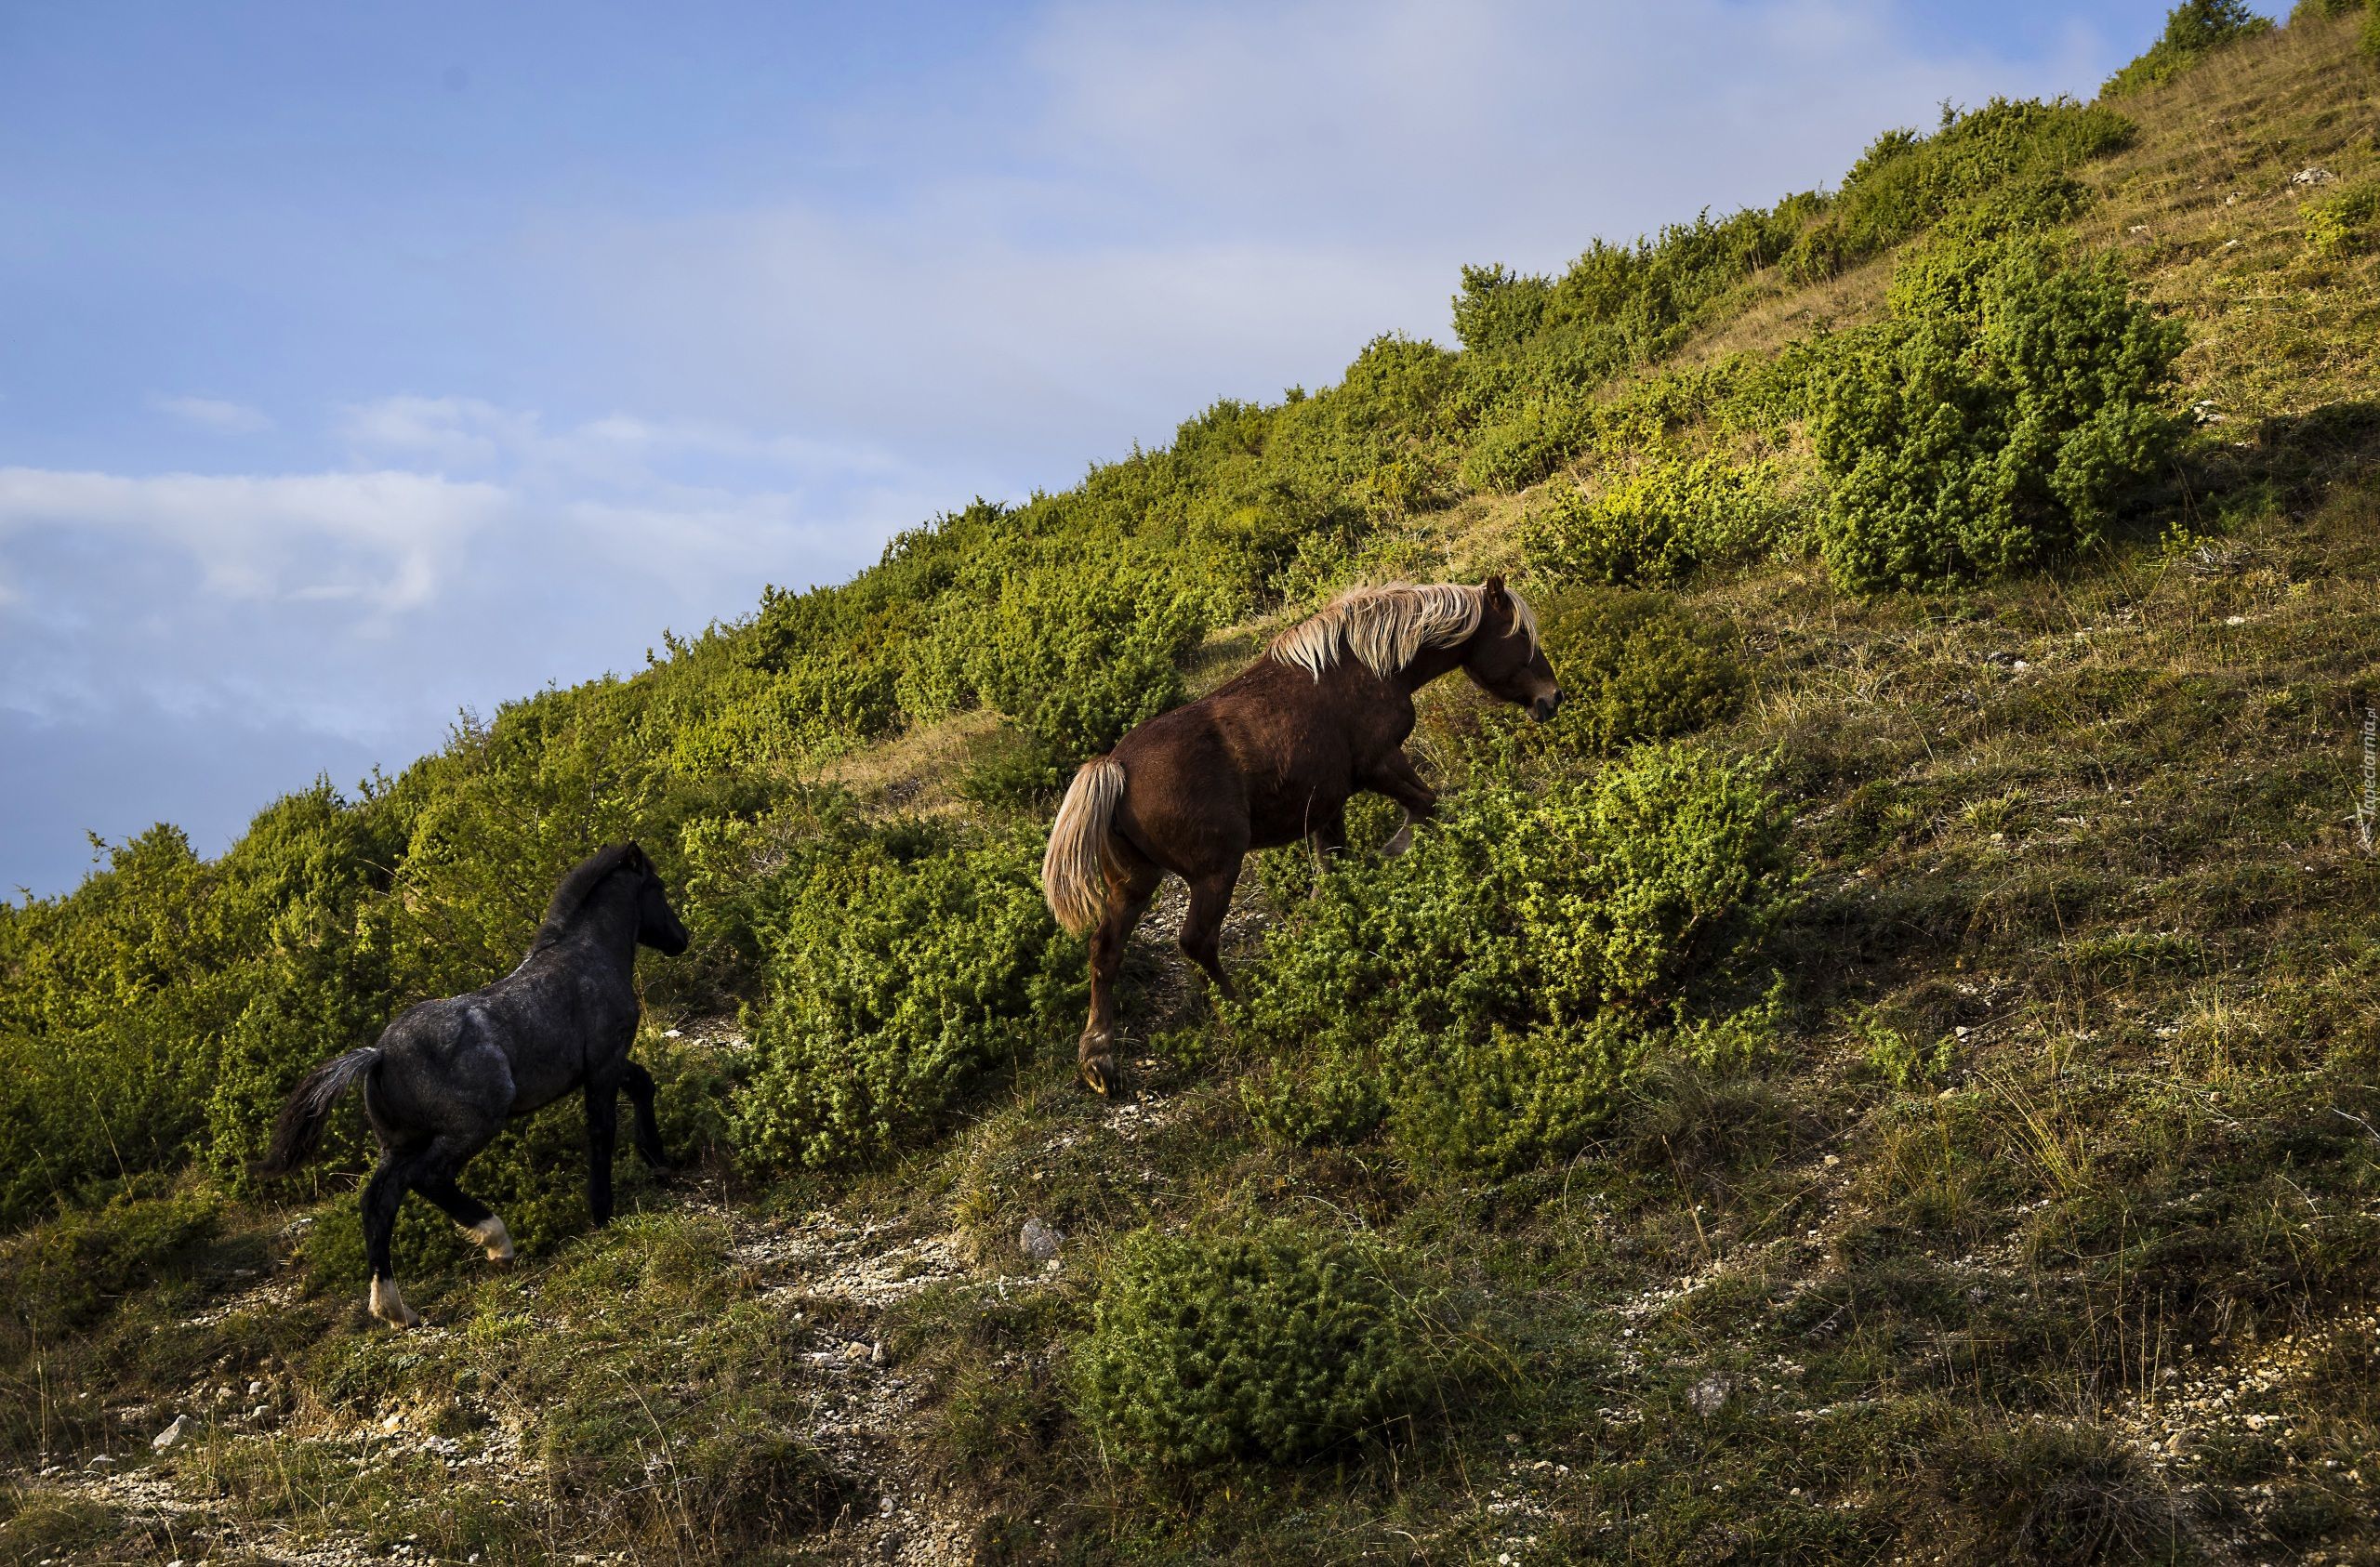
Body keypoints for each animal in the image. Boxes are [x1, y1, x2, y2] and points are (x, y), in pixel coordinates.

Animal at [258, 846, 690, 1322]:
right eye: (657, 888)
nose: (681, 939)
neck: (587, 956)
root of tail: (379, 1054)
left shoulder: (604, 1065)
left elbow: (643, 1085)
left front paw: (658, 1160)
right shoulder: (603, 1063)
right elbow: (602, 1130)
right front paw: (603, 1211)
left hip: (400, 1144)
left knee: (378, 1203)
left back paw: (394, 1309)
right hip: (473, 1125)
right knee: (428, 1179)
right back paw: (496, 1243)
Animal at [1042, 573, 1561, 1088]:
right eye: (1521, 636)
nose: (1552, 698)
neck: (1365, 665)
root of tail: (1116, 768)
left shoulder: (1328, 805)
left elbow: (1335, 870)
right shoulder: (1381, 764)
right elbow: (1425, 808)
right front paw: (1389, 854)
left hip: (1134, 883)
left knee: (1105, 952)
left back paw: (1099, 1059)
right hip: (1215, 872)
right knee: (1196, 942)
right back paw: (1247, 1013)